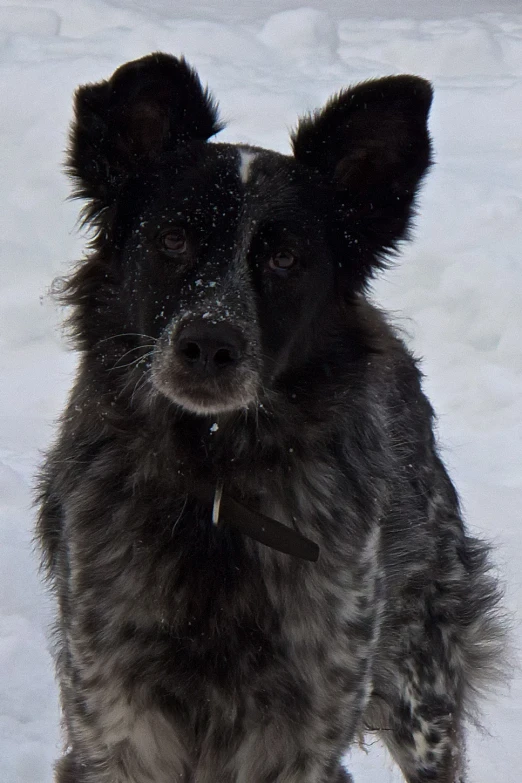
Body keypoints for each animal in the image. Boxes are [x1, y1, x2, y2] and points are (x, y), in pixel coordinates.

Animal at [37, 52, 504, 780]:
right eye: (173, 237)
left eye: (286, 258)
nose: (209, 345)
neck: (217, 477)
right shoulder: (115, 723)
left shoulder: (304, 730)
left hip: (423, 685)